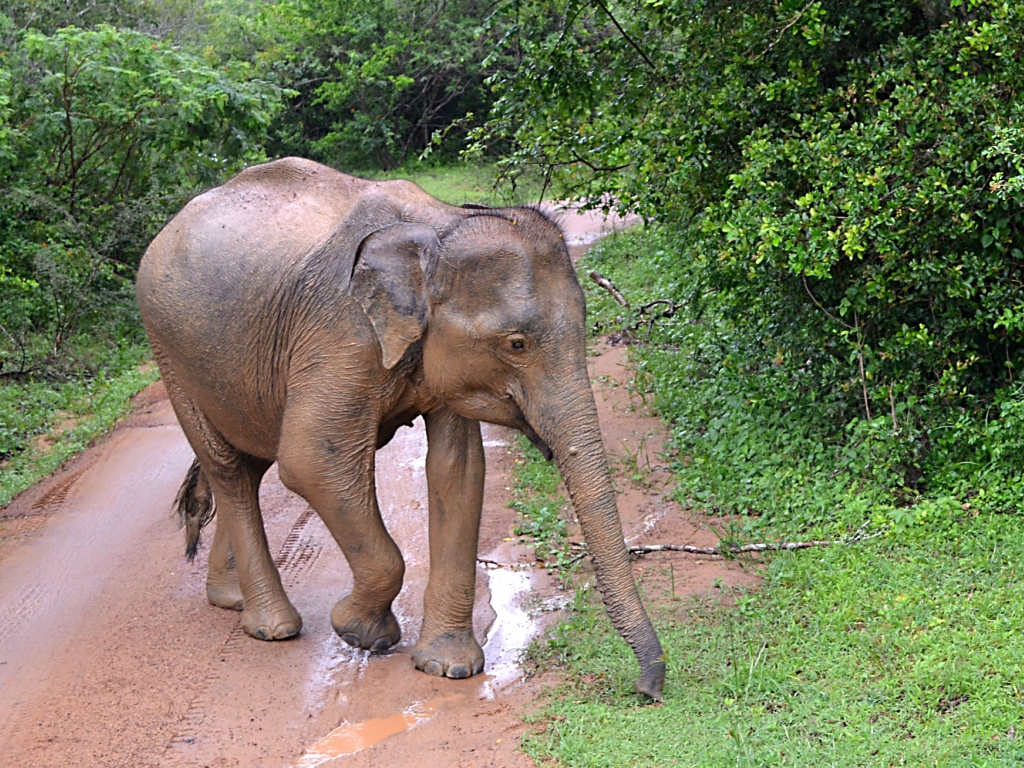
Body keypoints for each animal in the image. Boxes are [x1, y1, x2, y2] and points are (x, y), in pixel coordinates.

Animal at [134, 159, 663, 700]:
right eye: (517, 344)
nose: (646, 690)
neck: (440, 227)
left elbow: (458, 471)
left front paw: (447, 668)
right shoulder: (339, 331)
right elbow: (312, 460)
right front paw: (360, 632)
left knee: (250, 460)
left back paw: (230, 599)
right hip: (168, 348)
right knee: (230, 469)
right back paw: (272, 627)